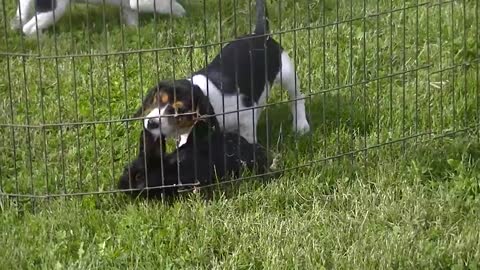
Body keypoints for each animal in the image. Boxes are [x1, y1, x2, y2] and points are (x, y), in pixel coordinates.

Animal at [135, 0, 310, 147]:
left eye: (180, 111)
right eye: (157, 99)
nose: (151, 123)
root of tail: (260, 34)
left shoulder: (246, 115)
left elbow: (247, 136)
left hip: (287, 72)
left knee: (297, 98)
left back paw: (301, 125)